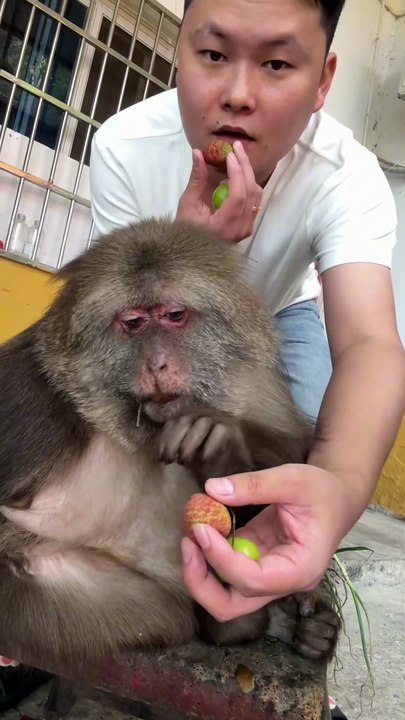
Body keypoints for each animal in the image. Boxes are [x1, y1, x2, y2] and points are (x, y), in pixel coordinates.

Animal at [0, 218, 340, 672]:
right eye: (134, 321)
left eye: (174, 316)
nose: (157, 363)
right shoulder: (34, 397)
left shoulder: (259, 391)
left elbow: (294, 468)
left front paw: (218, 449)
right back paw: (238, 623)